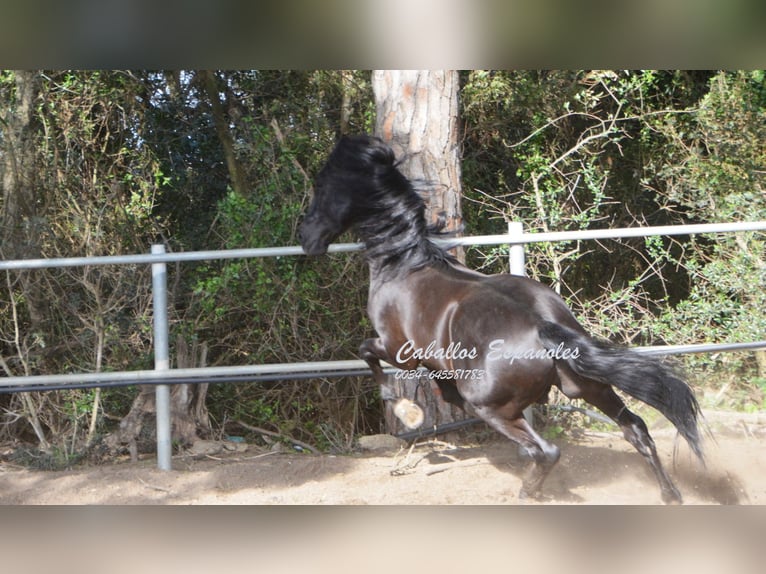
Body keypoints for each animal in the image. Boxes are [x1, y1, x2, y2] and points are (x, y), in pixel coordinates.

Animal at [296, 135, 704, 504]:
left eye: (323, 186)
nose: (305, 237)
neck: (402, 264)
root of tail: (541, 325)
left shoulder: (399, 351)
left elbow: (367, 352)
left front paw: (405, 412)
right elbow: (440, 389)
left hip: (495, 408)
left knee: (547, 451)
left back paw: (529, 492)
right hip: (588, 387)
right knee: (634, 429)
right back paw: (670, 496)